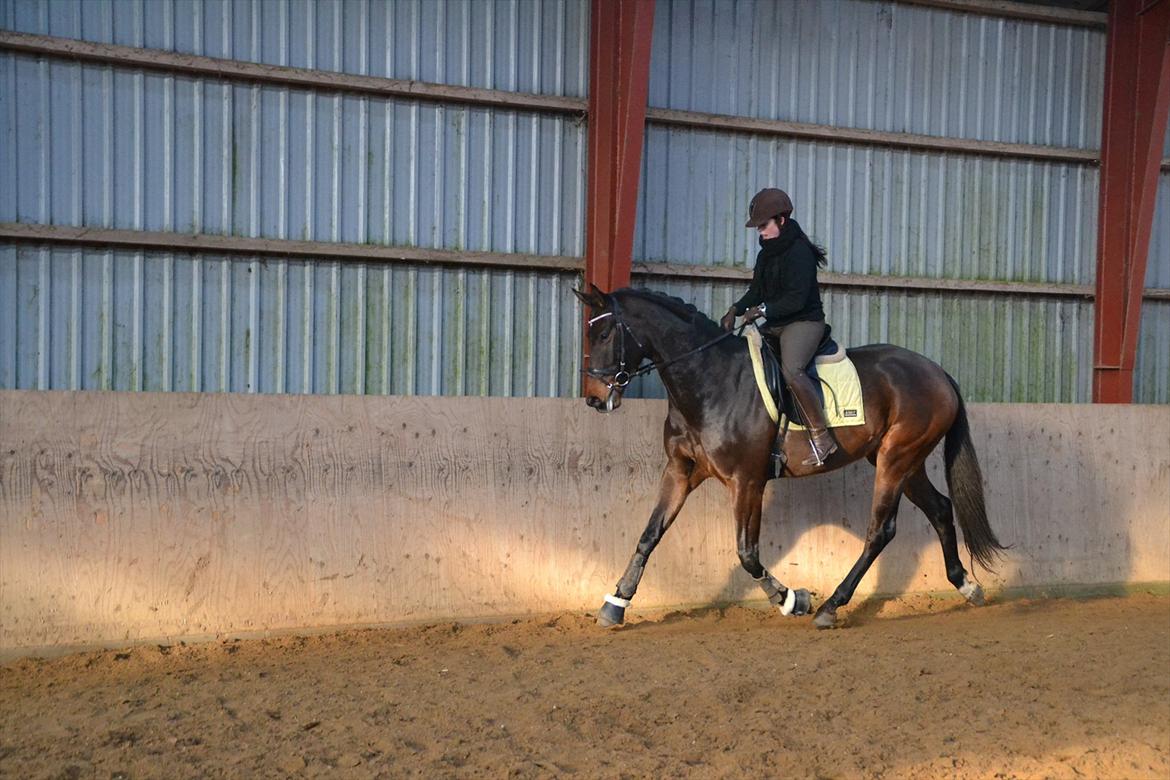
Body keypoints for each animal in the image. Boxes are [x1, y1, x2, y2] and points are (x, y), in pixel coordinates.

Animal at [575, 285, 1006, 626]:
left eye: (605, 332)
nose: (594, 399)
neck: (709, 381)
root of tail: (938, 372)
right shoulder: (681, 472)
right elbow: (649, 535)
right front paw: (616, 603)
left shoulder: (747, 481)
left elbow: (747, 554)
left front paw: (791, 599)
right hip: (904, 461)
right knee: (940, 509)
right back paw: (967, 587)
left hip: (896, 459)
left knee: (880, 530)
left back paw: (831, 606)